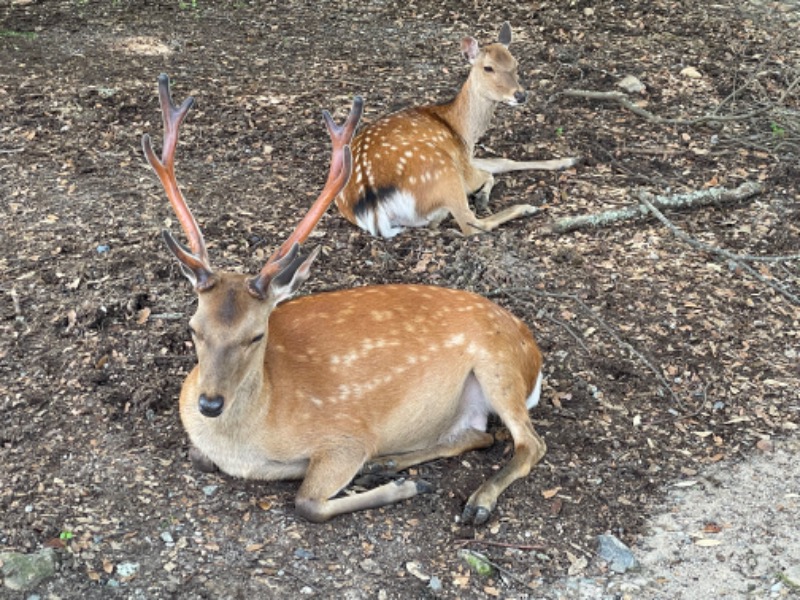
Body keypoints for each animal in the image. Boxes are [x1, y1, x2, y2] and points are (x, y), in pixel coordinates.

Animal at [141, 76, 548, 524]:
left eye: (256, 335)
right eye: (194, 328)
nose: (210, 403)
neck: (245, 446)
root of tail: (532, 350)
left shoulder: (347, 435)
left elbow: (307, 502)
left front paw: (404, 488)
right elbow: (199, 457)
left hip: (499, 364)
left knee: (529, 443)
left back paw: (475, 500)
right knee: (479, 435)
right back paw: (387, 465)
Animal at [334, 21, 580, 237]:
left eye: (516, 63)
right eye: (488, 67)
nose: (520, 95)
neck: (462, 131)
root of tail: (373, 209)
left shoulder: (465, 157)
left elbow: (503, 162)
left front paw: (569, 160)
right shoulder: (463, 165)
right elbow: (490, 173)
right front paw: (482, 197)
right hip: (445, 173)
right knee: (471, 225)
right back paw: (525, 207)